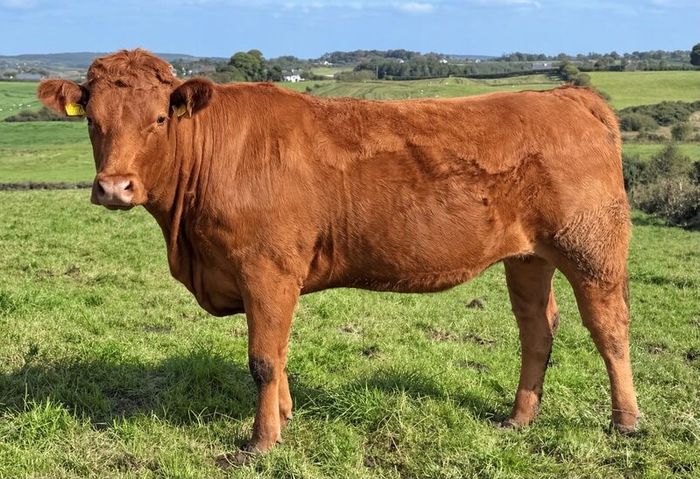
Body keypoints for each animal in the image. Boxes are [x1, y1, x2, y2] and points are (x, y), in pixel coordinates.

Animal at [37, 49, 640, 458]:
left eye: (159, 119)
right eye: (92, 119)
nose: (115, 188)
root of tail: (565, 96)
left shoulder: (267, 267)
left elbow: (262, 359)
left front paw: (261, 442)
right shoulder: (266, 277)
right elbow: (277, 355)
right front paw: (284, 419)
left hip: (591, 248)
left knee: (608, 327)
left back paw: (626, 421)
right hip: (528, 257)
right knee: (537, 329)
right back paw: (518, 419)